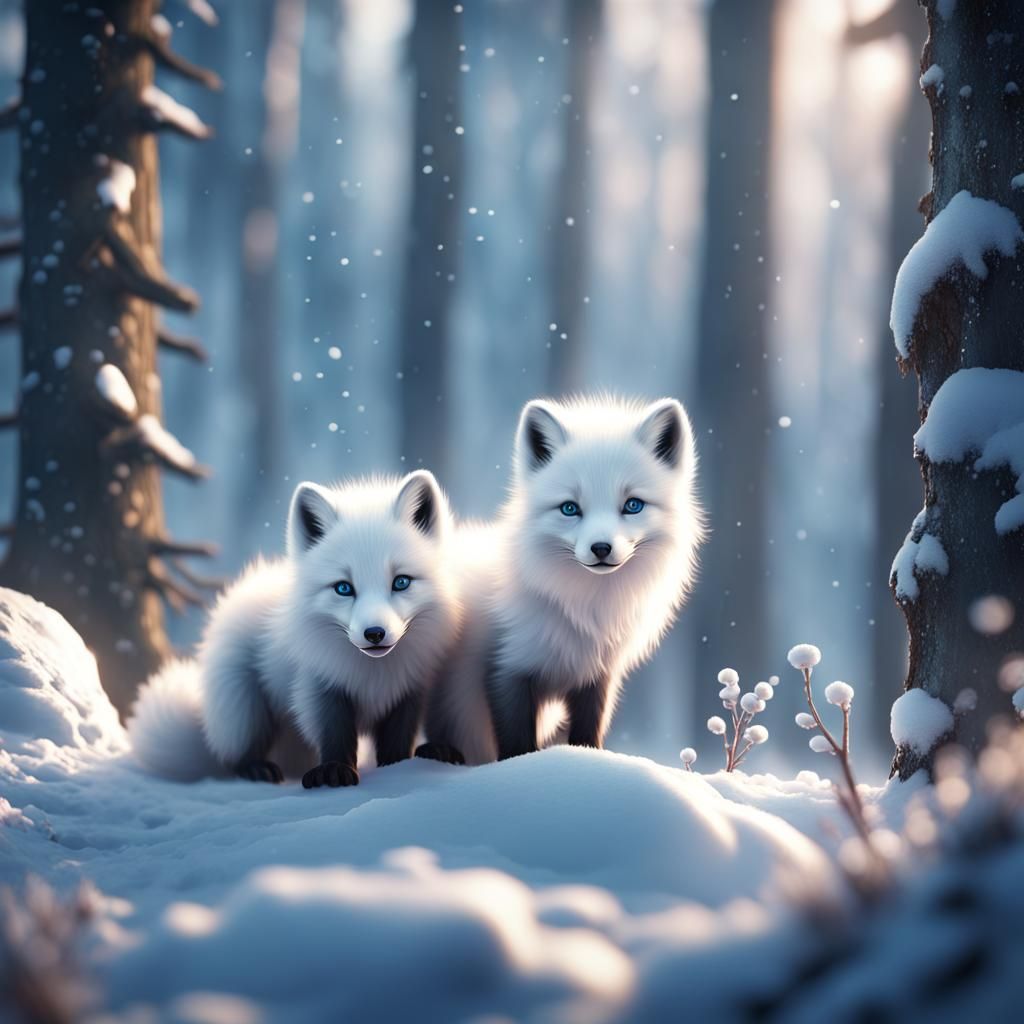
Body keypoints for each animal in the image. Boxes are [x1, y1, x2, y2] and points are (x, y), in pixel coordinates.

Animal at [128, 471, 463, 788]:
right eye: (344, 588)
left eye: (401, 582)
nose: (375, 633)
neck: (375, 676)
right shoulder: (319, 688)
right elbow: (335, 736)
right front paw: (334, 771)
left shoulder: (410, 691)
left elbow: (397, 740)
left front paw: (399, 767)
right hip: (244, 711)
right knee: (234, 757)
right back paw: (257, 769)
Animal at [417, 396, 705, 765]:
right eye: (570, 508)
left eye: (632, 505)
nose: (601, 548)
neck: (585, 608)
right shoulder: (506, 668)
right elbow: (516, 743)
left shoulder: (596, 677)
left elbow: (588, 734)